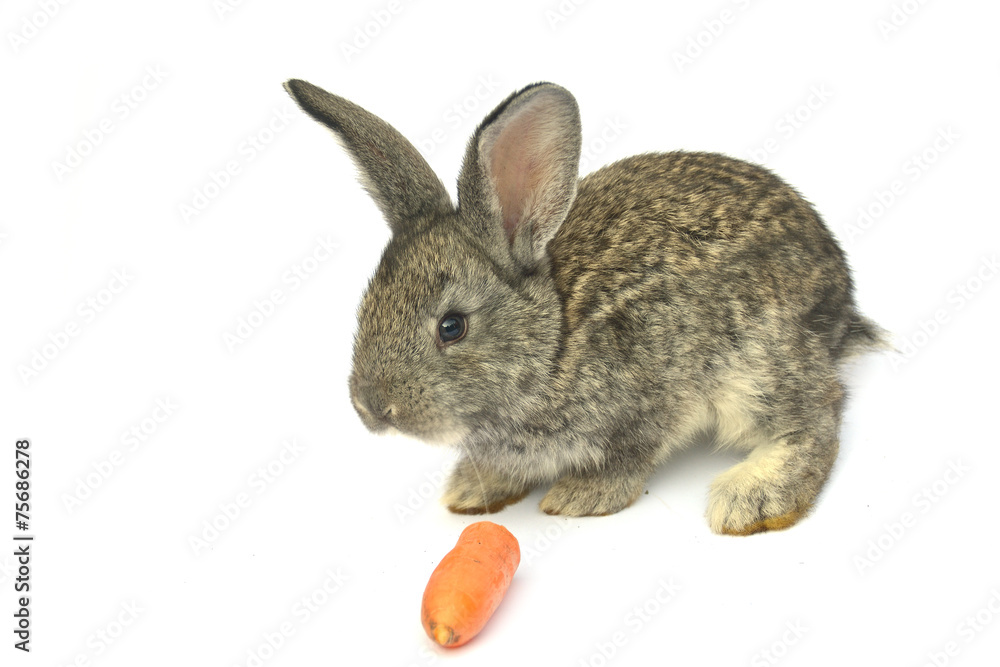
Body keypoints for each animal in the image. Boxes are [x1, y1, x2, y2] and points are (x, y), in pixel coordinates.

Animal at [284, 78, 884, 535]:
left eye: (452, 327)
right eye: (364, 309)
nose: (371, 407)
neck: (555, 339)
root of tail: (838, 288)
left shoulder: (648, 401)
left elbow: (627, 458)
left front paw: (578, 497)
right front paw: (472, 490)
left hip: (756, 360)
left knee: (817, 413)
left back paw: (750, 499)